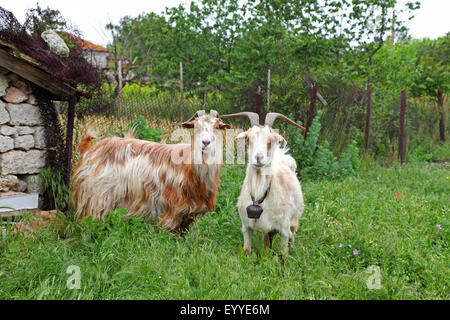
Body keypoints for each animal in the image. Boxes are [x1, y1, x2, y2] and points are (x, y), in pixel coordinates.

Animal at [222, 111, 306, 256]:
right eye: (248, 139)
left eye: (271, 140)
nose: (258, 158)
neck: (258, 196)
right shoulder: (246, 226)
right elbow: (247, 250)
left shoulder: (284, 228)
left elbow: (283, 254)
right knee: (267, 240)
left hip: (295, 218)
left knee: (292, 235)